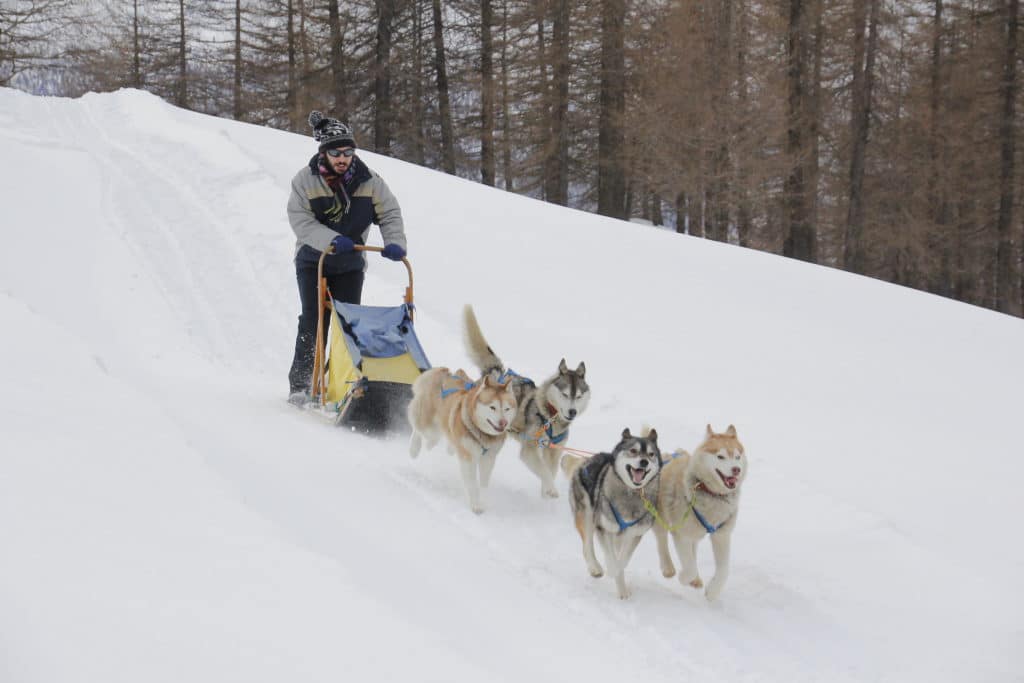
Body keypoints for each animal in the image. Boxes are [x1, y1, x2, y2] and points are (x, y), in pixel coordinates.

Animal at [405, 368, 516, 511]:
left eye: (507, 409)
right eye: (492, 407)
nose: (503, 423)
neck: (482, 434)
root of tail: (444, 371)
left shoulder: (489, 458)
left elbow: (484, 484)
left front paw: (483, 500)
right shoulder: (468, 457)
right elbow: (472, 484)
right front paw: (475, 505)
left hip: (440, 430)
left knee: (436, 440)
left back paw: (432, 446)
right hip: (428, 427)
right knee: (418, 430)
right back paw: (414, 449)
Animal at [460, 305, 589, 497]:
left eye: (578, 396)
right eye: (565, 394)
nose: (572, 412)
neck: (551, 417)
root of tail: (496, 374)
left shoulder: (553, 451)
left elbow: (550, 470)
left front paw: (545, 492)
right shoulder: (529, 450)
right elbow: (544, 471)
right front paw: (550, 489)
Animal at [561, 430, 663, 602]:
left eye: (651, 454)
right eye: (633, 451)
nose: (644, 462)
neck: (631, 494)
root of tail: (585, 460)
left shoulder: (634, 534)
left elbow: (623, 560)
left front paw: (621, 587)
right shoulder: (604, 529)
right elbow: (611, 558)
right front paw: (611, 570)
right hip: (587, 516)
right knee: (587, 546)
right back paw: (595, 568)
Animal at [651, 423, 749, 602]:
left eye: (737, 456)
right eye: (720, 456)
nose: (736, 470)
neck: (712, 494)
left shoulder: (722, 535)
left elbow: (724, 569)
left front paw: (713, 592)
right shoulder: (681, 534)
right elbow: (689, 567)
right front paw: (684, 577)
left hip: (696, 532)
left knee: (693, 549)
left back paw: (696, 579)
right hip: (660, 517)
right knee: (662, 540)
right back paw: (668, 568)